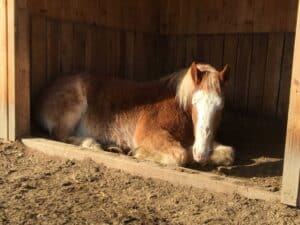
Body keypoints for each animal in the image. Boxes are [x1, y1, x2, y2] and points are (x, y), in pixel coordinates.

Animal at [35, 62, 234, 166]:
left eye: (221, 105)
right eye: (195, 102)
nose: (201, 153)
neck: (177, 106)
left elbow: (229, 153)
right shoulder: (151, 134)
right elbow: (181, 155)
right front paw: (137, 152)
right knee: (62, 136)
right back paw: (93, 144)